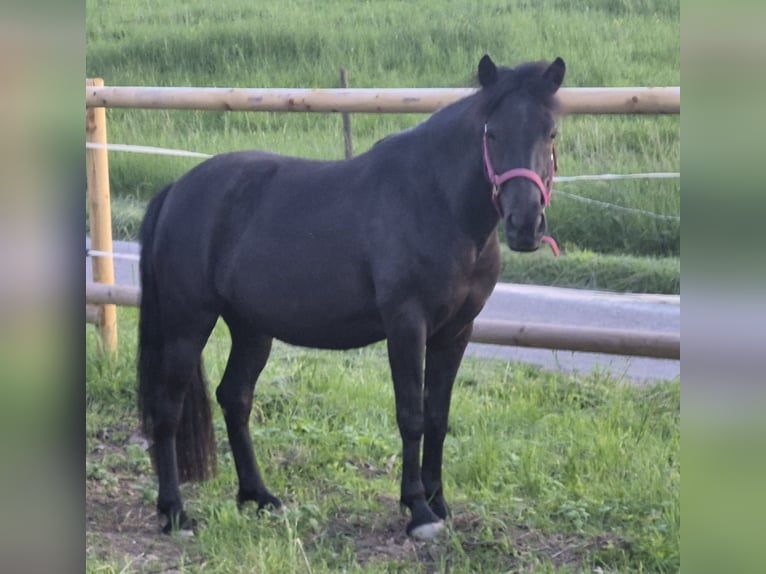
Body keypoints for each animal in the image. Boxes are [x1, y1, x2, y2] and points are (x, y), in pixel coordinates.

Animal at [138, 54, 566, 540]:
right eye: (491, 133)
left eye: (550, 133)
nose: (525, 224)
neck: (437, 204)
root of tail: (177, 190)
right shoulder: (406, 325)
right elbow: (411, 414)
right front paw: (418, 509)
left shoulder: (456, 331)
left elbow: (438, 416)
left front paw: (440, 503)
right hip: (188, 323)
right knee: (168, 408)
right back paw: (174, 512)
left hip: (251, 329)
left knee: (235, 397)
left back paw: (258, 496)